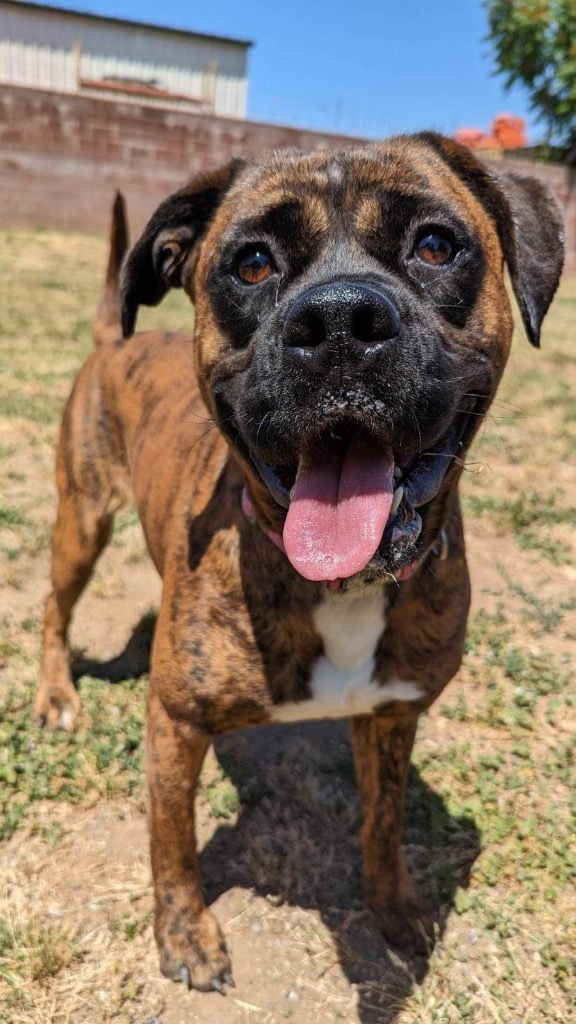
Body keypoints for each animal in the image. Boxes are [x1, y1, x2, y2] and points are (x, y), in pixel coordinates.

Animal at [38, 136, 561, 991]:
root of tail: (116, 341)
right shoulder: (175, 723)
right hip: (80, 522)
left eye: (435, 246)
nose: (341, 320)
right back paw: (55, 695)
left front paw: (396, 908)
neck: (342, 585)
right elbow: (171, 841)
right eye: (252, 263)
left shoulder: (392, 718)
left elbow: (383, 824)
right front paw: (185, 935)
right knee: (53, 608)